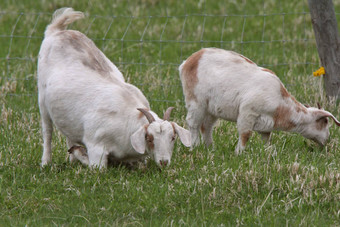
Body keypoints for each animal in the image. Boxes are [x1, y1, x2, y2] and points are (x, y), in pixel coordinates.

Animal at [37, 7, 191, 168]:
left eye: (173, 137)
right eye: (149, 138)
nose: (164, 162)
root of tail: (56, 31)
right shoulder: (96, 147)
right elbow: (95, 166)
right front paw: (78, 152)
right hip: (42, 98)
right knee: (47, 131)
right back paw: (46, 162)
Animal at [179, 48, 338, 154]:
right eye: (325, 123)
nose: (327, 141)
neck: (280, 103)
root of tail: (187, 62)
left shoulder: (266, 124)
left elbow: (266, 138)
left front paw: (268, 152)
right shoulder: (248, 112)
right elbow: (245, 134)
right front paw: (239, 153)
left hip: (211, 108)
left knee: (206, 126)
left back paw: (210, 148)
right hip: (196, 101)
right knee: (193, 123)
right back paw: (195, 146)